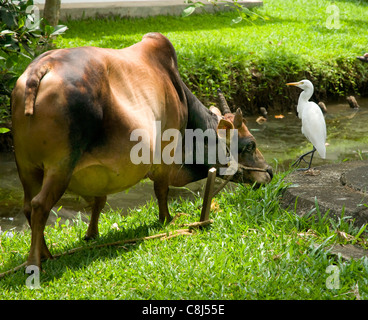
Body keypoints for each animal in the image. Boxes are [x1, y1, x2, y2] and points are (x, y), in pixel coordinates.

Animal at [11, 33, 272, 268]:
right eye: (250, 145)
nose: (269, 172)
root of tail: (41, 68)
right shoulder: (165, 155)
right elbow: (161, 191)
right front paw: (167, 219)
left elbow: (99, 201)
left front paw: (91, 234)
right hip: (61, 166)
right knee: (40, 205)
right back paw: (36, 261)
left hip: (26, 167)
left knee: (28, 206)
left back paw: (46, 253)